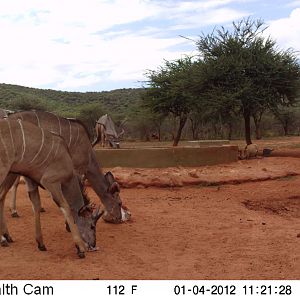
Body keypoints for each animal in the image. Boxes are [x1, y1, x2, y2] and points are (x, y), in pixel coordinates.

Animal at [0, 119, 102, 258]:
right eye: (92, 226)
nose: (93, 244)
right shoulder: (50, 181)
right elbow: (66, 207)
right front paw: (80, 248)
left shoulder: (32, 180)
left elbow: (37, 205)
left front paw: (41, 243)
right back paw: (2, 239)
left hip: (10, 173)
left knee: (1, 196)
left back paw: (7, 236)